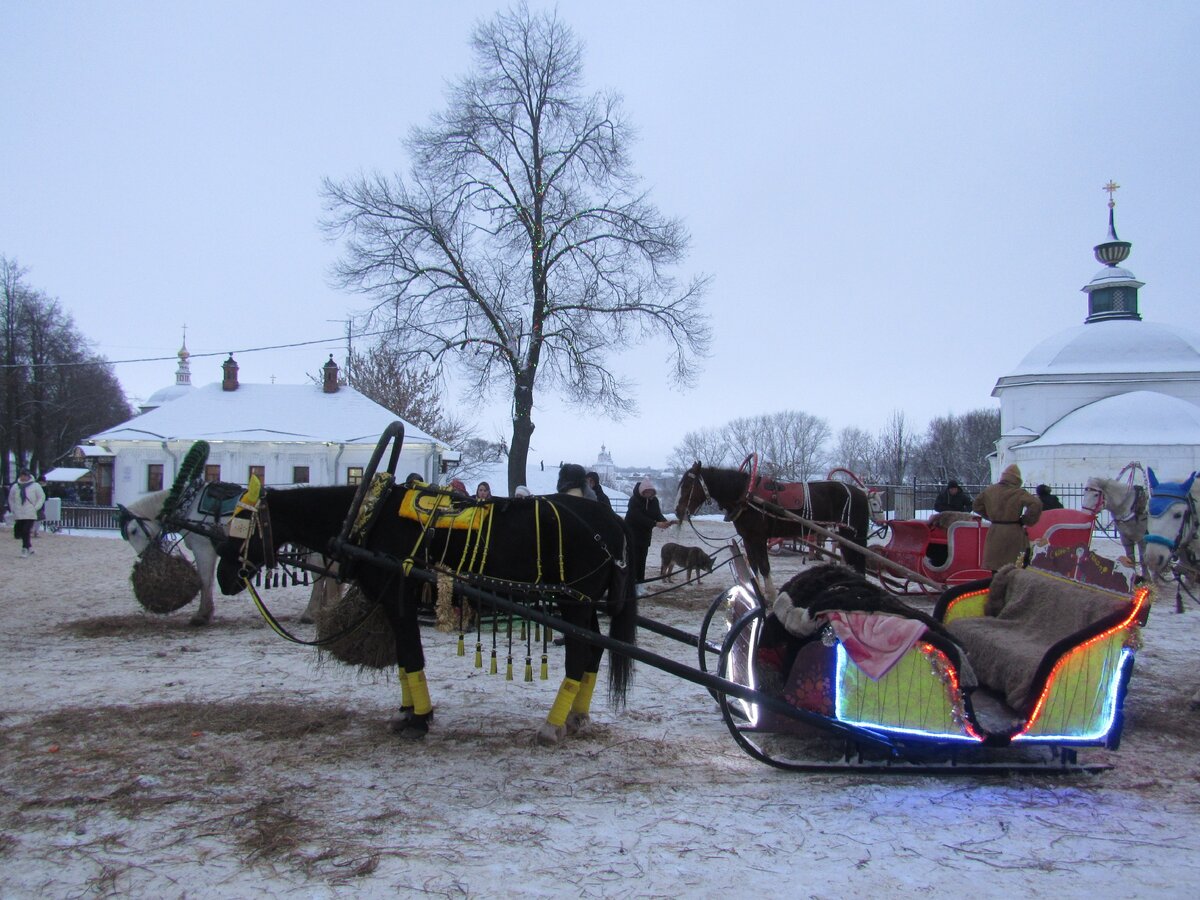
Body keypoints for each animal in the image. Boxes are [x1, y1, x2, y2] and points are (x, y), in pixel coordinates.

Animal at [220, 487, 643, 748]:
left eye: (242, 526)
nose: (224, 577)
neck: (370, 516)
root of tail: (613, 521)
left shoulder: (397, 596)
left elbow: (410, 654)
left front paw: (419, 718)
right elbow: (404, 658)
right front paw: (408, 712)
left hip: (576, 601)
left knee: (579, 653)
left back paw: (553, 724)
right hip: (582, 604)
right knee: (593, 649)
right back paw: (576, 716)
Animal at [676, 465, 873, 600]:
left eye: (688, 486)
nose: (678, 511)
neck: (746, 497)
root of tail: (860, 492)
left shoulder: (759, 538)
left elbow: (764, 566)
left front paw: (770, 595)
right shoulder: (748, 539)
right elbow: (753, 565)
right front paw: (754, 591)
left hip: (850, 535)